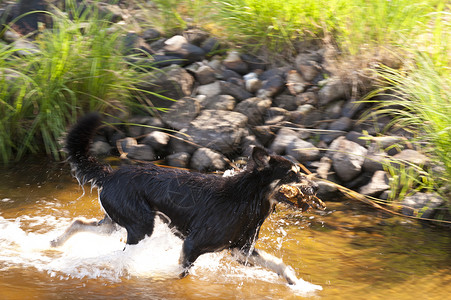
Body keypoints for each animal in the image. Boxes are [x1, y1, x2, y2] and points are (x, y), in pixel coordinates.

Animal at [52, 113, 318, 286]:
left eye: (299, 171)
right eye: (292, 174)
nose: (315, 187)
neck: (245, 198)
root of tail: (110, 174)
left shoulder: (241, 250)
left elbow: (278, 263)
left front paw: (294, 282)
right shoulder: (192, 245)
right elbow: (179, 273)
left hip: (117, 222)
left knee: (79, 221)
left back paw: (55, 242)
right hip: (141, 226)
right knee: (123, 255)